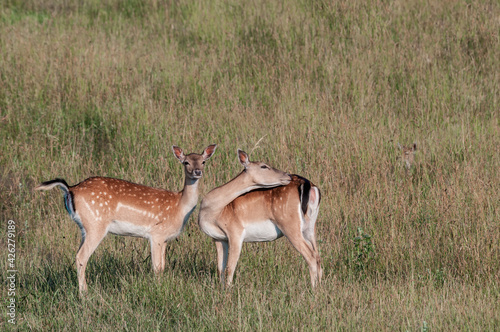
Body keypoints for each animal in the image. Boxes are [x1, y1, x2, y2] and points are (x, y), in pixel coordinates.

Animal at [34, 144, 216, 294]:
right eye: (186, 162)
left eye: (203, 162)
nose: (197, 172)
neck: (179, 206)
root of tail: (70, 189)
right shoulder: (156, 234)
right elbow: (157, 267)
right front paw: (158, 289)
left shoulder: (165, 239)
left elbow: (163, 266)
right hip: (96, 225)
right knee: (81, 257)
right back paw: (84, 293)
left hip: (84, 227)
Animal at [197, 150, 322, 288]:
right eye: (264, 166)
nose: (287, 175)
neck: (213, 213)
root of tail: (311, 186)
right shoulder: (218, 238)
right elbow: (221, 268)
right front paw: (221, 288)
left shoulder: (235, 231)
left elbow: (230, 267)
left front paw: (228, 290)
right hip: (310, 225)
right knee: (317, 255)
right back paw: (320, 286)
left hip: (289, 223)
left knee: (310, 256)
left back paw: (312, 288)